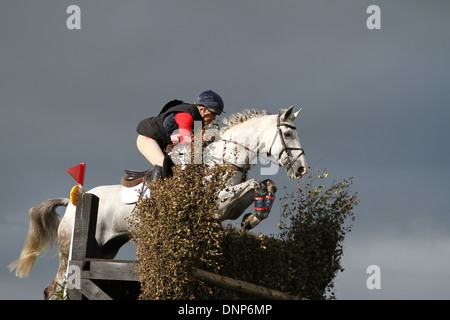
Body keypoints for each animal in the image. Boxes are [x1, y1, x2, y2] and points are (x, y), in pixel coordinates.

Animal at [10, 106, 308, 298]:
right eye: (288, 134)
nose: (302, 169)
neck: (225, 157)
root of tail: (75, 201)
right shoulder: (217, 203)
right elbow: (256, 183)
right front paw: (255, 214)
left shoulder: (228, 207)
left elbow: (266, 185)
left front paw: (255, 216)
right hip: (68, 251)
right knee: (54, 288)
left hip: (104, 250)